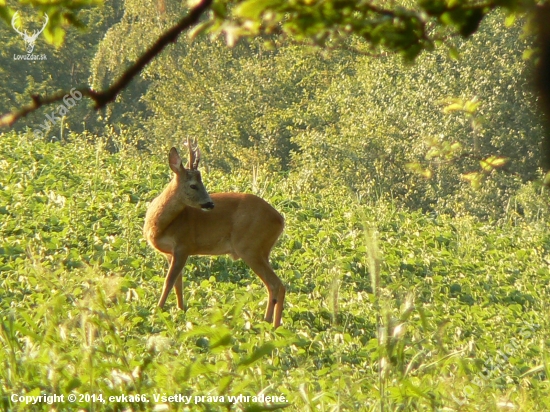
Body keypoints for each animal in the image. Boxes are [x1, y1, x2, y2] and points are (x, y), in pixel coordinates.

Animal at [144, 142, 286, 328]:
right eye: (193, 185)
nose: (210, 204)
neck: (159, 225)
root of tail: (280, 219)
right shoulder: (170, 253)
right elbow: (178, 284)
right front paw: (180, 311)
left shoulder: (184, 245)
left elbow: (168, 282)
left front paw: (157, 312)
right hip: (262, 250)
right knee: (275, 285)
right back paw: (270, 324)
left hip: (250, 247)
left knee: (276, 284)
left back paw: (271, 325)